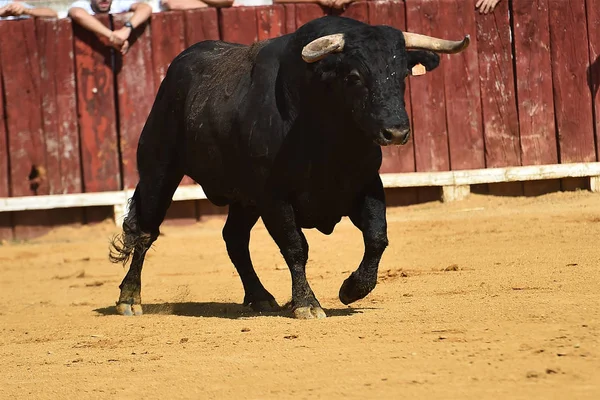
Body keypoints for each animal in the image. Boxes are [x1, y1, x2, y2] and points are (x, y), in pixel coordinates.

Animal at [110, 15, 472, 318]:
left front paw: (352, 289)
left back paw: (259, 297)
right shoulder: (275, 196)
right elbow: (296, 247)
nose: (395, 131)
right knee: (145, 230)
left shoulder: (366, 185)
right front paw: (307, 304)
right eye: (355, 76)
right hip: (159, 170)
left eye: (403, 75)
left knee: (234, 238)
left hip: (244, 197)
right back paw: (129, 299)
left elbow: (376, 237)